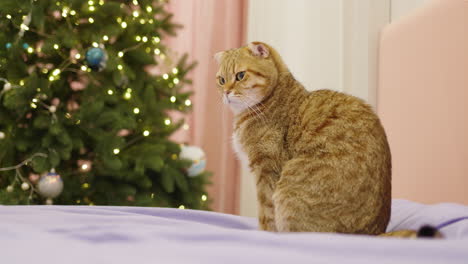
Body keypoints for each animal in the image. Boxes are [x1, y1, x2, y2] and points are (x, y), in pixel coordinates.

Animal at [216, 41, 392, 235]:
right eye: (221, 80)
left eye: (240, 75)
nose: (226, 92)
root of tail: (376, 232)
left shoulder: (266, 170)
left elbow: (266, 213)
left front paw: (263, 233)